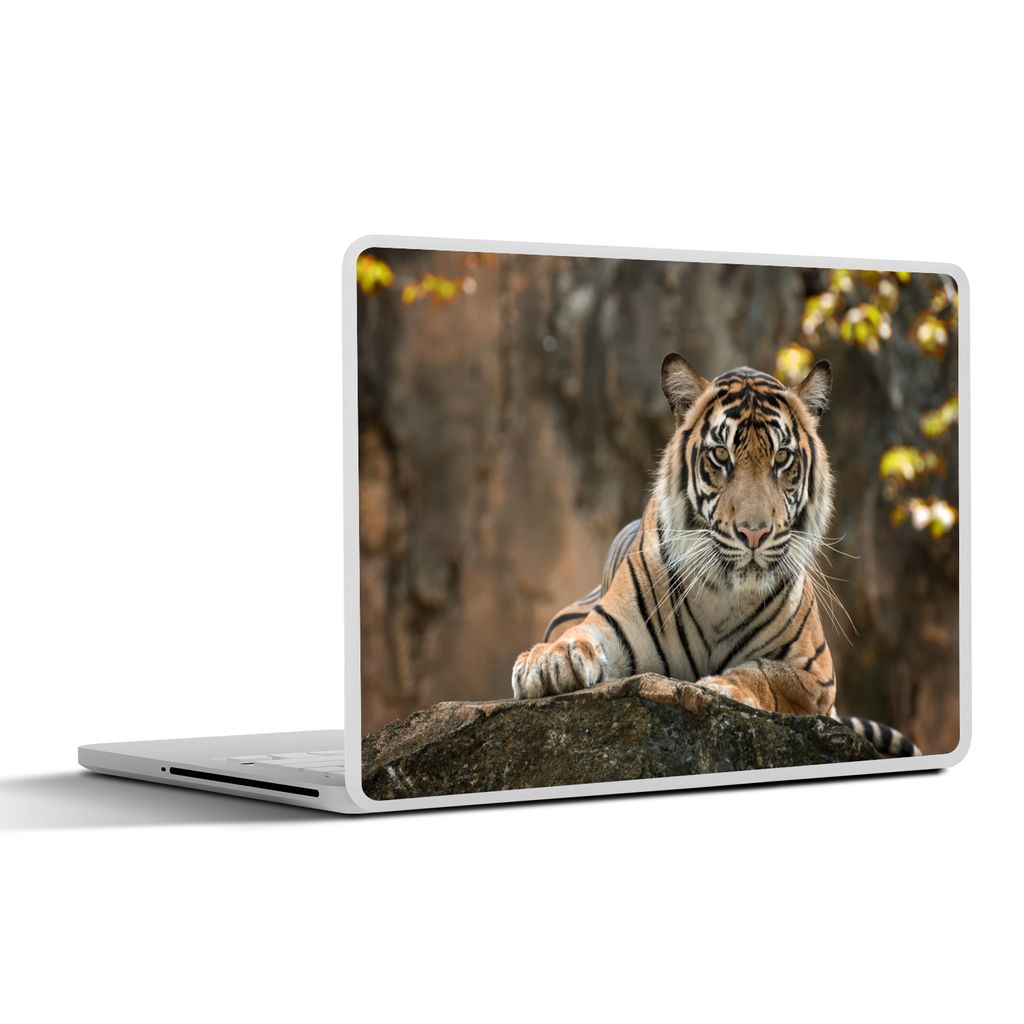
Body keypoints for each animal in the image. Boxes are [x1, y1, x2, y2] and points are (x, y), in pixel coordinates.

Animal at [511, 353, 921, 758]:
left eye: (782, 457)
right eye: (721, 455)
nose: (754, 533)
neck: (723, 594)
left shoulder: (815, 674)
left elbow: (765, 674)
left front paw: (722, 687)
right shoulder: (612, 624)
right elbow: (578, 636)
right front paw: (548, 662)